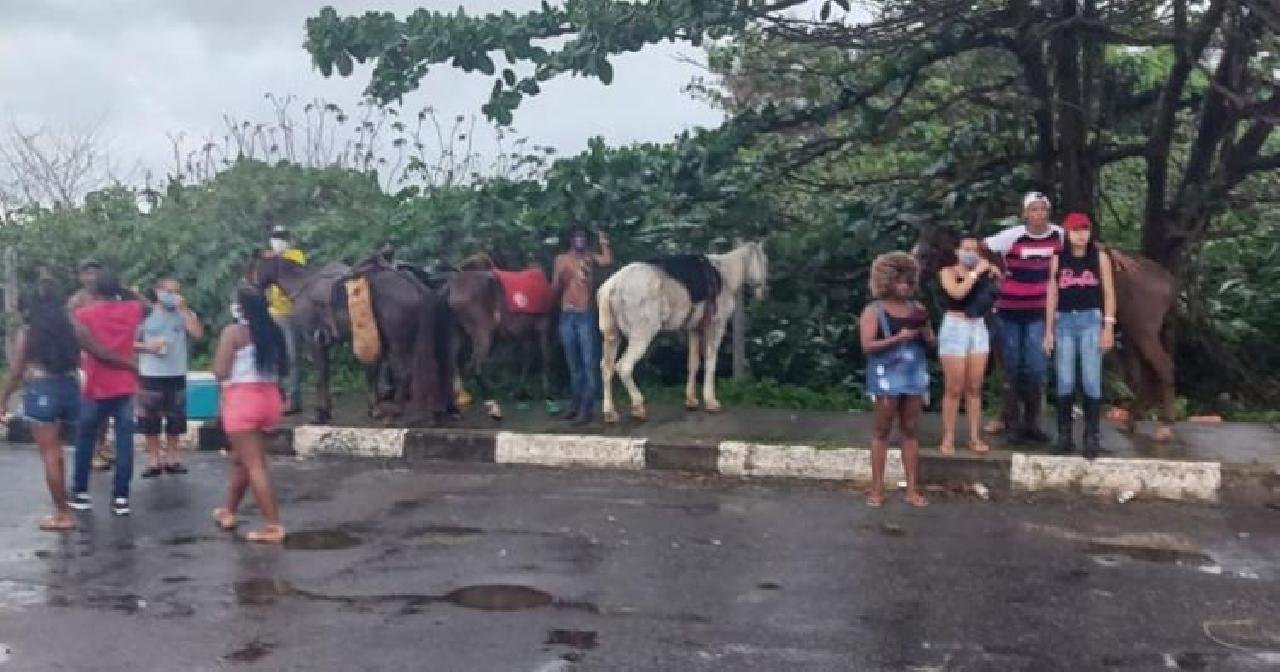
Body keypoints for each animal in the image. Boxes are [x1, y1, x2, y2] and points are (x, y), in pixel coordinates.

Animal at [593, 238, 762, 422]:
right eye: (764, 260)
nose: (762, 290)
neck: (723, 275)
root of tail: (612, 285)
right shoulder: (715, 327)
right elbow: (710, 362)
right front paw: (711, 402)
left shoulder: (694, 330)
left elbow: (693, 363)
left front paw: (691, 401)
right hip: (641, 336)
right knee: (624, 367)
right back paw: (638, 407)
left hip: (612, 336)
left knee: (606, 368)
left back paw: (610, 413)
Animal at [916, 225, 1172, 440]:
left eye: (929, 251)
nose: (912, 273)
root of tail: (1164, 278)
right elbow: (1006, 374)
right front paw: (1003, 422)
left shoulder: (1003, 336)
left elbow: (1006, 376)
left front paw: (1007, 422)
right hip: (1128, 336)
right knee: (1140, 376)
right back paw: (1132, 421)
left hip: (1143, 333)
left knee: (1163, 367)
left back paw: (1164, 426)